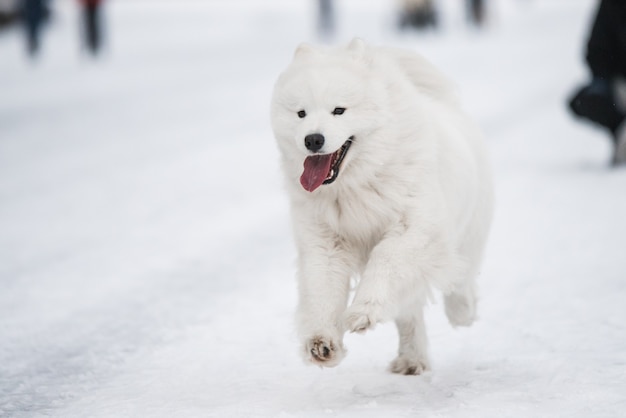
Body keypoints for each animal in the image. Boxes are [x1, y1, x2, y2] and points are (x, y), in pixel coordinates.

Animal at [268, 37, 492, 374]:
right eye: (301, 113)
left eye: (339, 110)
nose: (313, 140)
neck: (359, 183)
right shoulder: (326, 242)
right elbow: (322, 290)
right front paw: (322, 343)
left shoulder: (413, 229)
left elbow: (385, 261)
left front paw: (362, 310)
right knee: (410, 310)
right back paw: (411, 359)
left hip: (467, 232)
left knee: (461, 275)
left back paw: (462, 312)